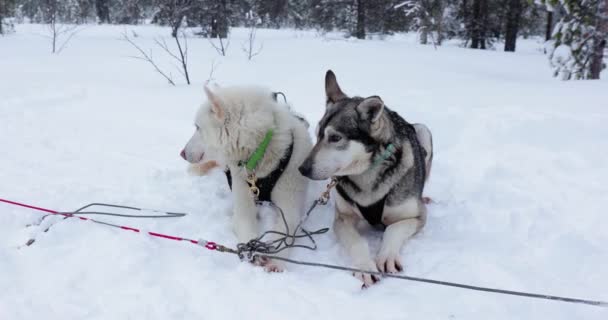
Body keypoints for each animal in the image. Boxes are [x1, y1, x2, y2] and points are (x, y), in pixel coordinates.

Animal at [180, 86, 312, 272]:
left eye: (197, 127)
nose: (182, 153)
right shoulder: (242, 198)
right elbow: (246, 225)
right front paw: (252, 250)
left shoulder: (290, 204)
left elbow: (286, 228)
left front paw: (276, 261)